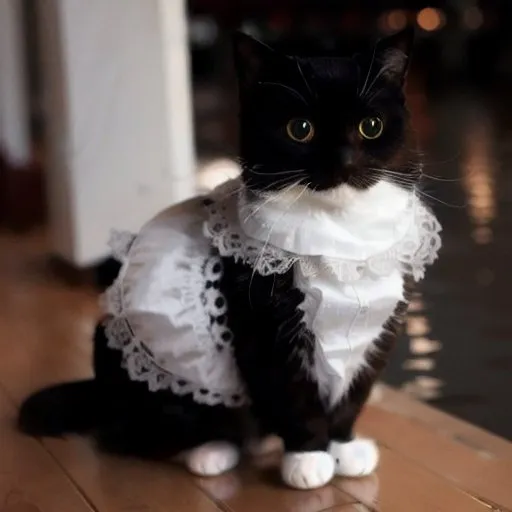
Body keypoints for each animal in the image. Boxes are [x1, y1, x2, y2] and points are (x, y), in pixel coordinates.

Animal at [17, 29, 440, 492]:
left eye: (371, 126)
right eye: (300, 129)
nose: (344, 161)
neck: (340, 238)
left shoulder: (378, 331)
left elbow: (353, 391)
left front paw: (343, 446)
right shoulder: (264, 330)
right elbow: (295, 394)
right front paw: (308, 457)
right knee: (130, 435)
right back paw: (212, 450)